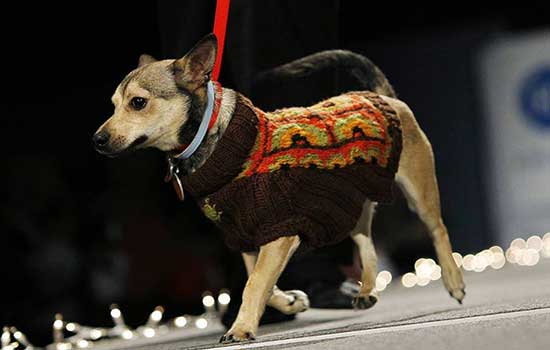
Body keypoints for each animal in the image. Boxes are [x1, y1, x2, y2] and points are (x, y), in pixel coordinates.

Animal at [94, 34, 466, 344]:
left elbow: (255, 282)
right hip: (348, 200)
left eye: (138, 103)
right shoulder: (244, 237)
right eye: (113, 104)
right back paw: (366, 290)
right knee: (366, 242)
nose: (97, 139)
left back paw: (454, 281)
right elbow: (259, 283)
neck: (219, 140)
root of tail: (380, 93)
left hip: (418, 189)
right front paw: (289, 302)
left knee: (437, 229)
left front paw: (241, 327)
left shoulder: (279, 232)